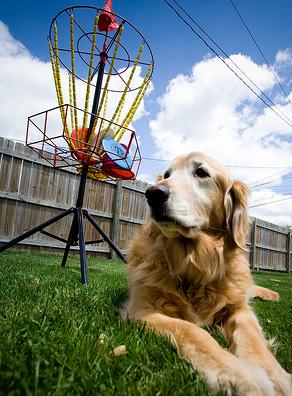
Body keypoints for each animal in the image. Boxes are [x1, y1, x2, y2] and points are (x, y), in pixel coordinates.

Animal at [122, 152, 290, 396]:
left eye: (201, 172)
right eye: (167, 175)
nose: (153, 193)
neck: (194, 262)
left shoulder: (239, 309)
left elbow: (250, 336)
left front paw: (273, 374)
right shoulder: (141, 309)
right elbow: (192, 330)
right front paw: (239, 374)